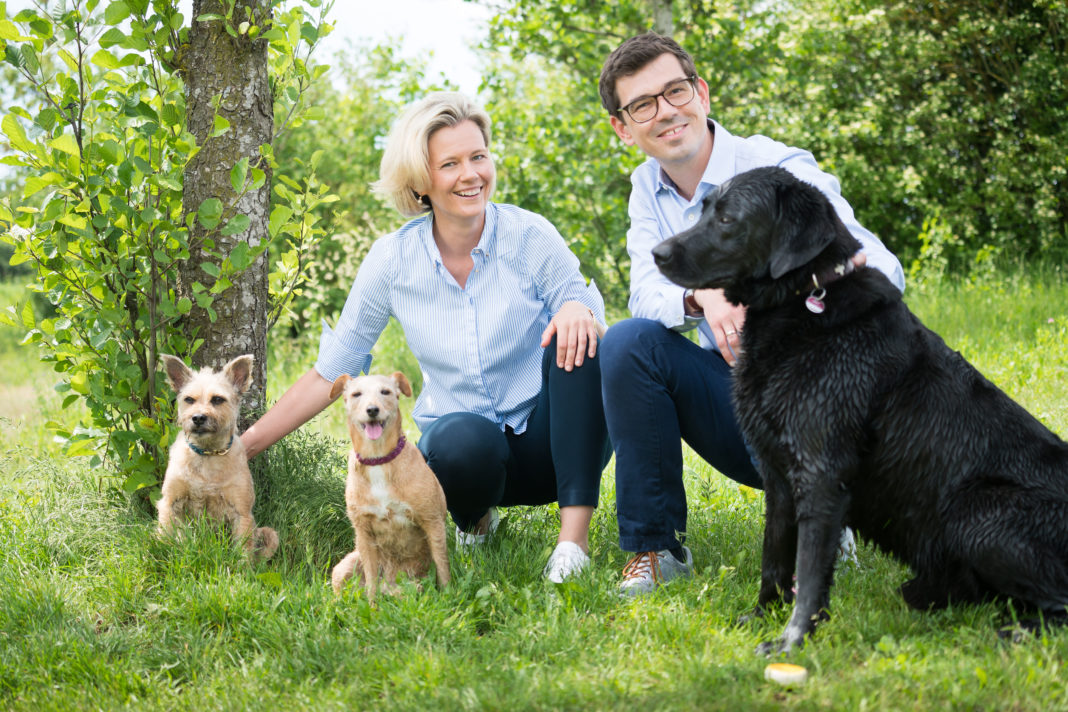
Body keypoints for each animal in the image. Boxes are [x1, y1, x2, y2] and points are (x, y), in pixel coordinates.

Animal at [155, 352, 279, 563]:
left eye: (218, 399)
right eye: (189, 399)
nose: (198, 418)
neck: (208, 454)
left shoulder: (241, 511)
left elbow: (243, 551)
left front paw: (242, 570)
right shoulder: (170, 503)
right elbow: (168, 536)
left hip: (269, 534)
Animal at [333, 373, 450, 602]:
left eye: (385, 392)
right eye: (356, 394)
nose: (372, 410)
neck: (378, 460)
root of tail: (389, 584)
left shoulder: (432, 522)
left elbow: (443, 568)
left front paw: (451, 596)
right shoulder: (363, 533)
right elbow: (370, 582)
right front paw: (371, 606)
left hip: (416, 582)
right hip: (345, 566)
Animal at [649, 164, 1068, 653]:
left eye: (728, 219)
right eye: (704, 211)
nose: (656, 253)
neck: (802, 302)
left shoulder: (821, 474)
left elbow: (809, 572)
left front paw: (791, 642)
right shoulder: (779, 477)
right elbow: (774, 559)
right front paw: (760, 617)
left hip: (978, 513)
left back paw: (1015, 632)